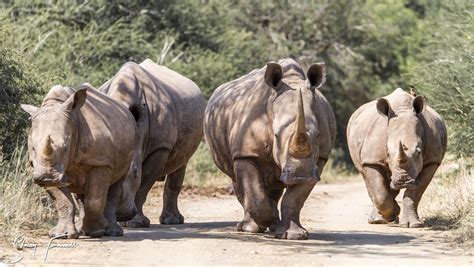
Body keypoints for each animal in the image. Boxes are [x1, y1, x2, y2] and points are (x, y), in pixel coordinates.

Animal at [22, 84, 137, 239]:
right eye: (33, 148)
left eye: (65, 148)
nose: (47, 177)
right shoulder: (42, 168)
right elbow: (63, 201)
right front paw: (61, 234)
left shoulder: (100, 162)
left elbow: (95, 200)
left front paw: (96, 232)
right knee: (81, 191)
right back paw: (83, 230)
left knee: (116, 183)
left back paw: (112, 231)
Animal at [100, 59, 206, 228]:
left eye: (135, 172)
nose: (118, 213)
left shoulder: (160, 147)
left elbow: (143, 185)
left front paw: (136, 223)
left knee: (181, 163)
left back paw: (172, 221)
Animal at [204, 57, 336, 240]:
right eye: (276, 135)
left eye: (317, 134)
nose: (300, 175)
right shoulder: (246, 152)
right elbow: (255, 194)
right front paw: (266, 223)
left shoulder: (319, 159)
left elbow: (295, 199)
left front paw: (294, 234)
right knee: (238, 179)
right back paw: (250, 228)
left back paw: (273, 226)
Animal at [346, 88, 446, 228]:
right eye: (387, 153)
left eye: (419, 152)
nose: (403, 181)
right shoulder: (371, 160)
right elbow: (380, 192)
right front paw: (392, 214)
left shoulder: (432, 161)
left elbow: (415, 193)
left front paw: (413, 224)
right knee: (369, 179)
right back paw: (377, 220)